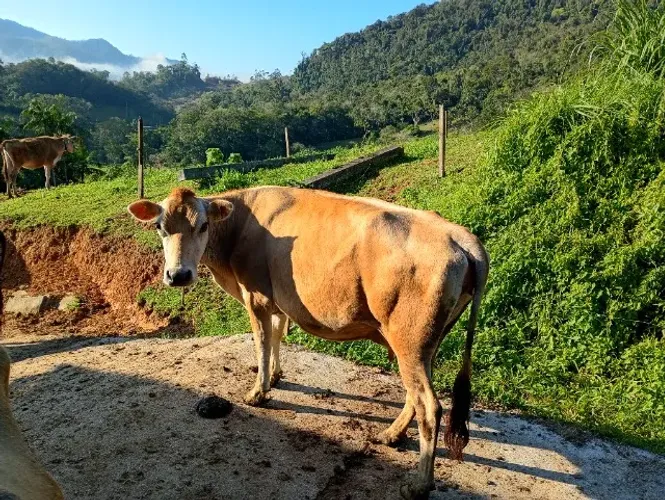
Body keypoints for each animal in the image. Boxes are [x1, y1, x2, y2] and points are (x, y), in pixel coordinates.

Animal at [128, 186, 489, 499]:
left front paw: (258, 392)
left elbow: (261, 341)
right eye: (160, 227)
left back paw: (418, 485)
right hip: (427, 340)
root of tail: (461, 236)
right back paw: (392, 435)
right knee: (417, 396)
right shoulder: (274, 299)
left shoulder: (256, 295)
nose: (178, 275)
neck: (239, 226)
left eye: (203, 225)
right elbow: (275, 336)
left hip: (409, 339)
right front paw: (275, 377)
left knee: (429, 405)